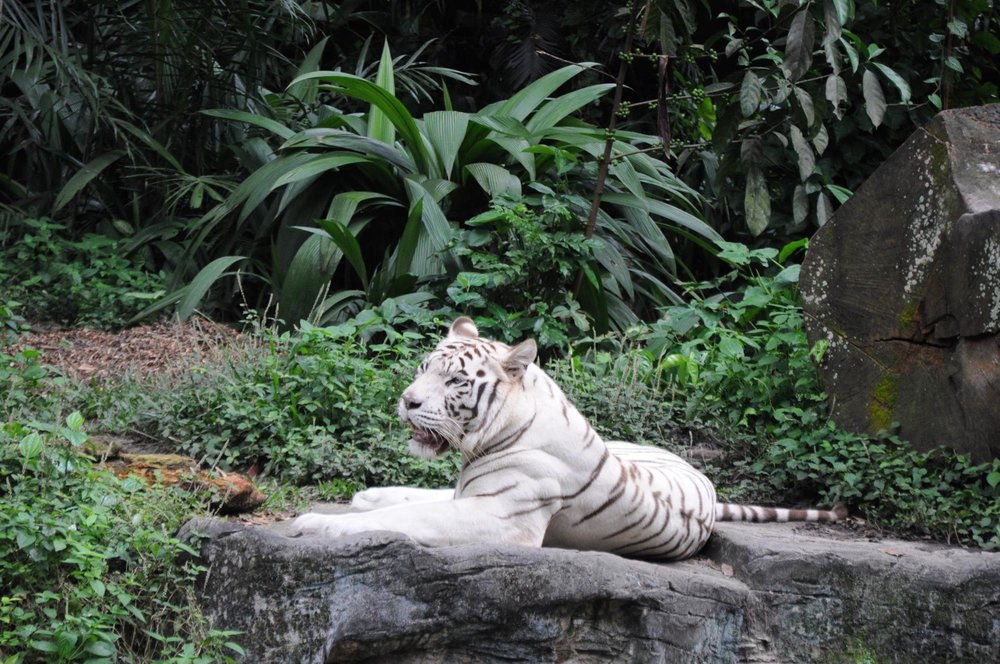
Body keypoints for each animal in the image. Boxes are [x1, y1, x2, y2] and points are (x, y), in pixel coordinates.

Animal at [290, 317, 846, 561]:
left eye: (455, 382)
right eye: (424, 369)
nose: (407, 401)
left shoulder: (501, 519)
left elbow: (409, 518)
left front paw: (315, 523)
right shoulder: (476, 495)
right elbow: (417, 502)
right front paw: (359, 503)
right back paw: (368, 493)